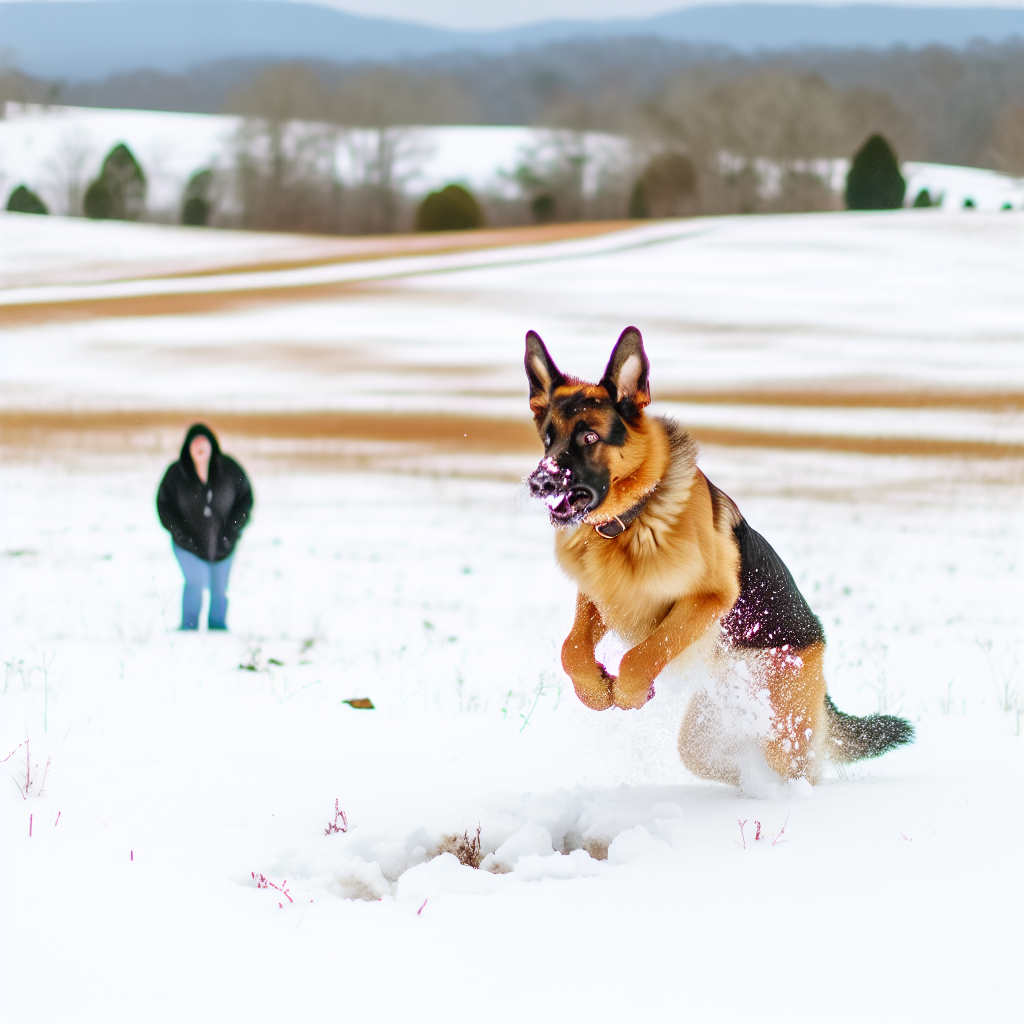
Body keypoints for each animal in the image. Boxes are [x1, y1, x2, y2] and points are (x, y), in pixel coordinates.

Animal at [528, 327, 913, 782]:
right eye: (548, 439)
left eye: (589, 437)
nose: (538, 482)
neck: (631, 520)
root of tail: (818, 645)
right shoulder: (600, 597)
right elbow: (572, 648)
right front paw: (594, 691)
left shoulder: (708, 599)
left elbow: (645, 652)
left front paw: (628, 691)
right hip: (706, 732)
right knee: (708, 756)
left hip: (784, 731)